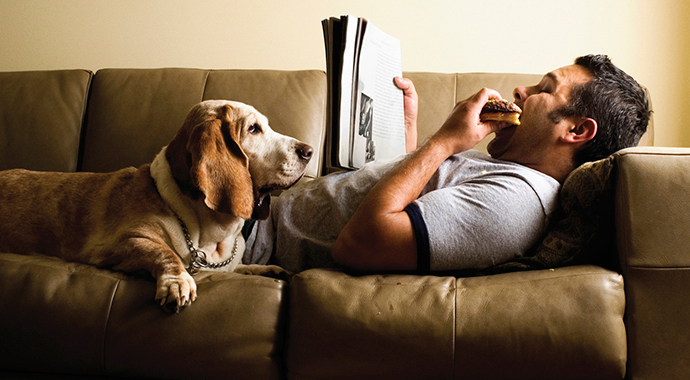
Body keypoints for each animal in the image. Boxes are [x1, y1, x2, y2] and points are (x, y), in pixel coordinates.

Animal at [0, 99, 312, 314]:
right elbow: (165, 253)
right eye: (253, 129)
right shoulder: (125, 242)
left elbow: (241, 267)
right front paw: (177, 281)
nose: (308, 151)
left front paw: (268, 270)